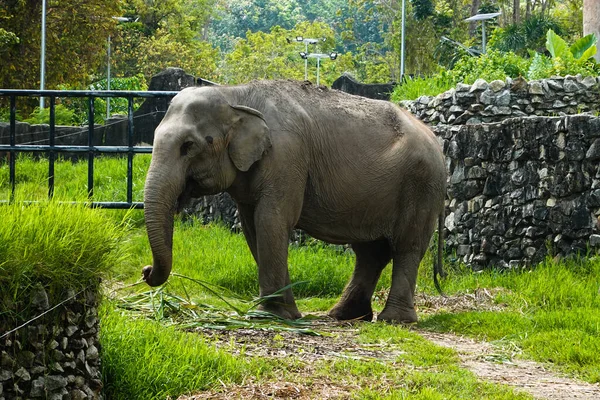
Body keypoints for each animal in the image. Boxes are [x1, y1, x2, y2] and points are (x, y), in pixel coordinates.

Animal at [142, 79, 446, 324]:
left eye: (188, 146)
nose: (145, 271)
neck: (235, 94)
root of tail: (438, 143)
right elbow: (253, 228)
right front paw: (287, 314)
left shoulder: (287, 157)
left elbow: (271, 220)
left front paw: (267, 316)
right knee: (371, 252)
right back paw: (344, 316)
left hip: (421, 186)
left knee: (407, 247)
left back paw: (394, 320)